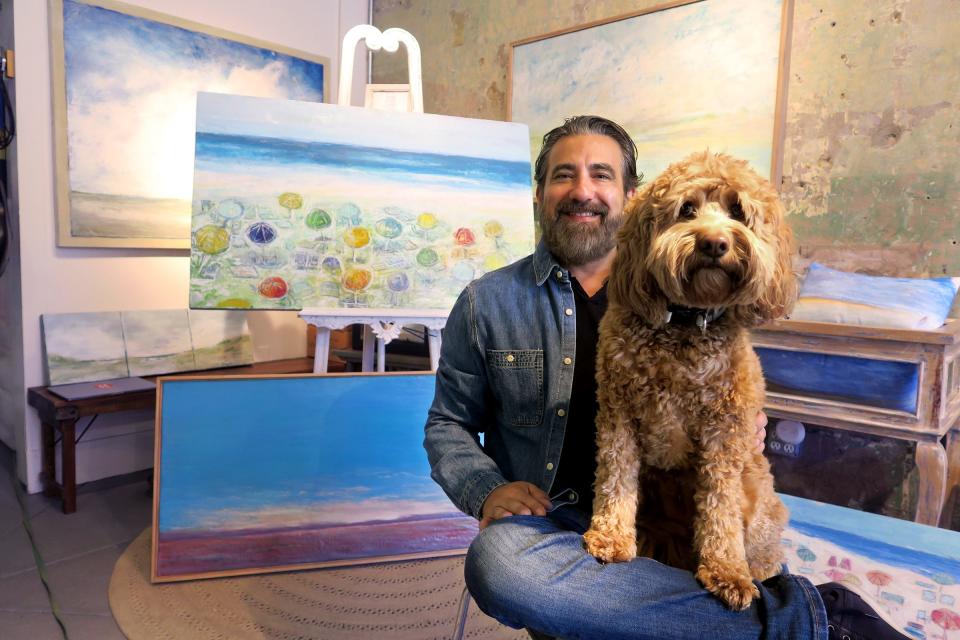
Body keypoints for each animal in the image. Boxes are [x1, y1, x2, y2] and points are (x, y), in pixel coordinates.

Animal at [584, 149, 796, 608]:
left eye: (738, 211)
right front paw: (611, 536)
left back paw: (756, 568)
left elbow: (720, 506)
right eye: (686, 209)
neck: (684, 324)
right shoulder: (618, 413)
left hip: (758, 490)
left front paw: (727, 570)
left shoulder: (724, 434)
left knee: (760, 541)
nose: (714, 243)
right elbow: (615, 477)